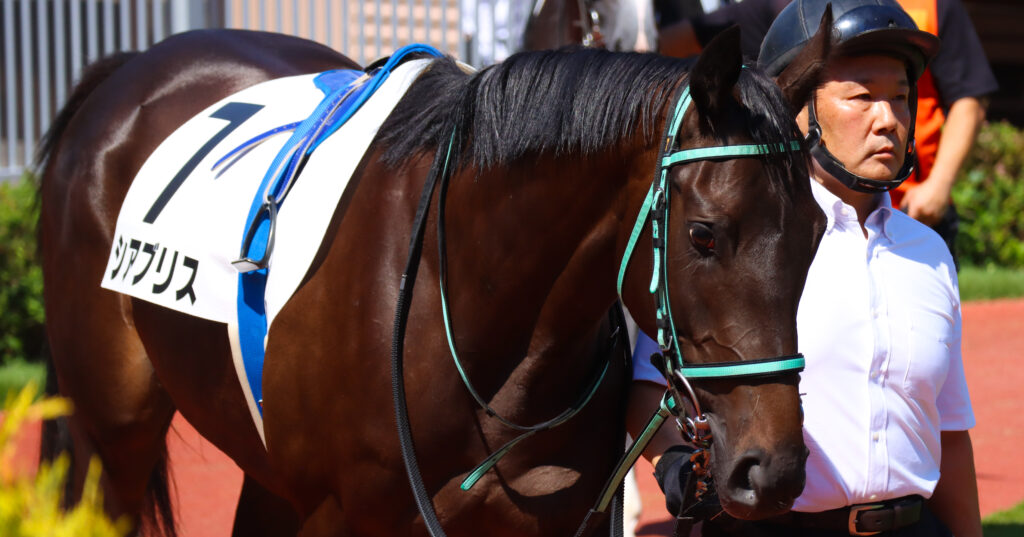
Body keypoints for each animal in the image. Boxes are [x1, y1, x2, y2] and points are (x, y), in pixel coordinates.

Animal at [37, 19, 830, 537]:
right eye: (704, 234)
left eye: (817, 234)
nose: (773, 470)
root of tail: (131, 68)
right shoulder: (344, 517)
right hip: (115, 429)